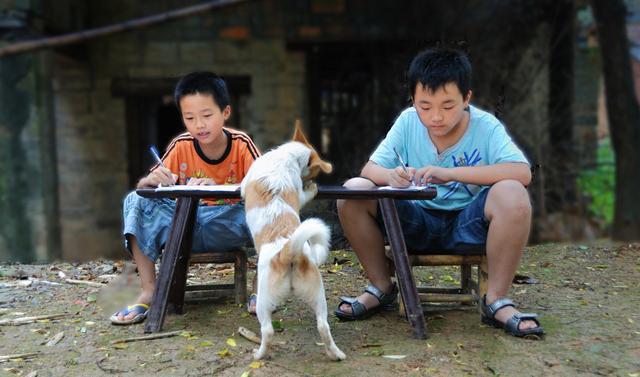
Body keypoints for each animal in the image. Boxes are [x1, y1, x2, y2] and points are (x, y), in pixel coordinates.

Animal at [241, 122, 344, 360]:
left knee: (268, 330)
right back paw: (335, 353)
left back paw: (259, 354)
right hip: (318, 295)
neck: (287, 156)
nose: (312, 181)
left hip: (262, 301)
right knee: (323, 326)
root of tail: (289, 251)